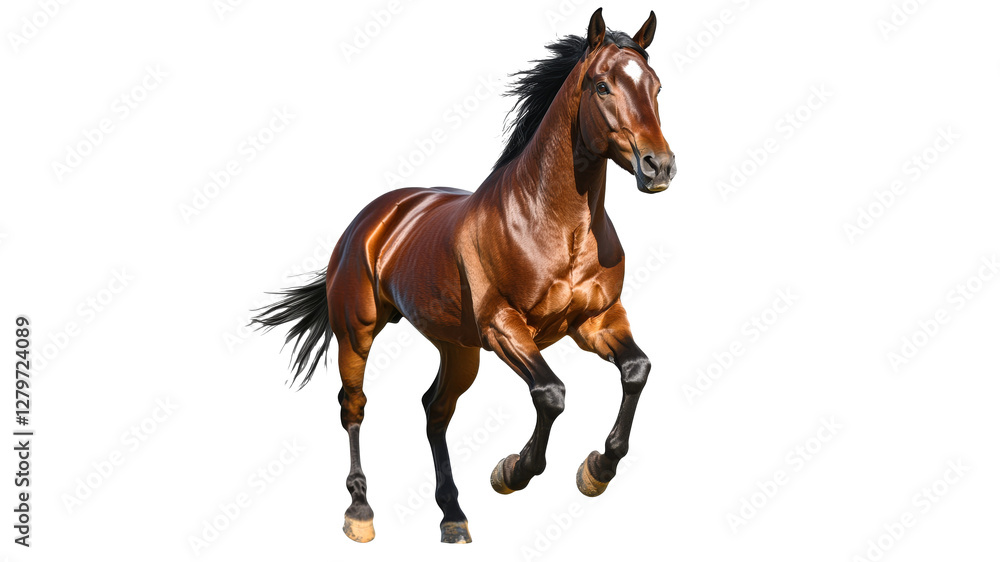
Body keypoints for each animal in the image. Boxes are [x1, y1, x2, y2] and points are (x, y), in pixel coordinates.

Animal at [252, 8, 676, 544]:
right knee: (354, 406)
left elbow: (636, 370)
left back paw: (452, 515)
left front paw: (596, 469)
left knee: (435, 410)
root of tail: (375, 217)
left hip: (458, 348)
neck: (554, 225)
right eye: (602, 86)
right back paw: (360, 512)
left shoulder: (596, 321)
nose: (659, 166)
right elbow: (551, 394)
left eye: (656, 86)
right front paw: (512, 471)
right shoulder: (503, 326)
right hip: (358, 332)